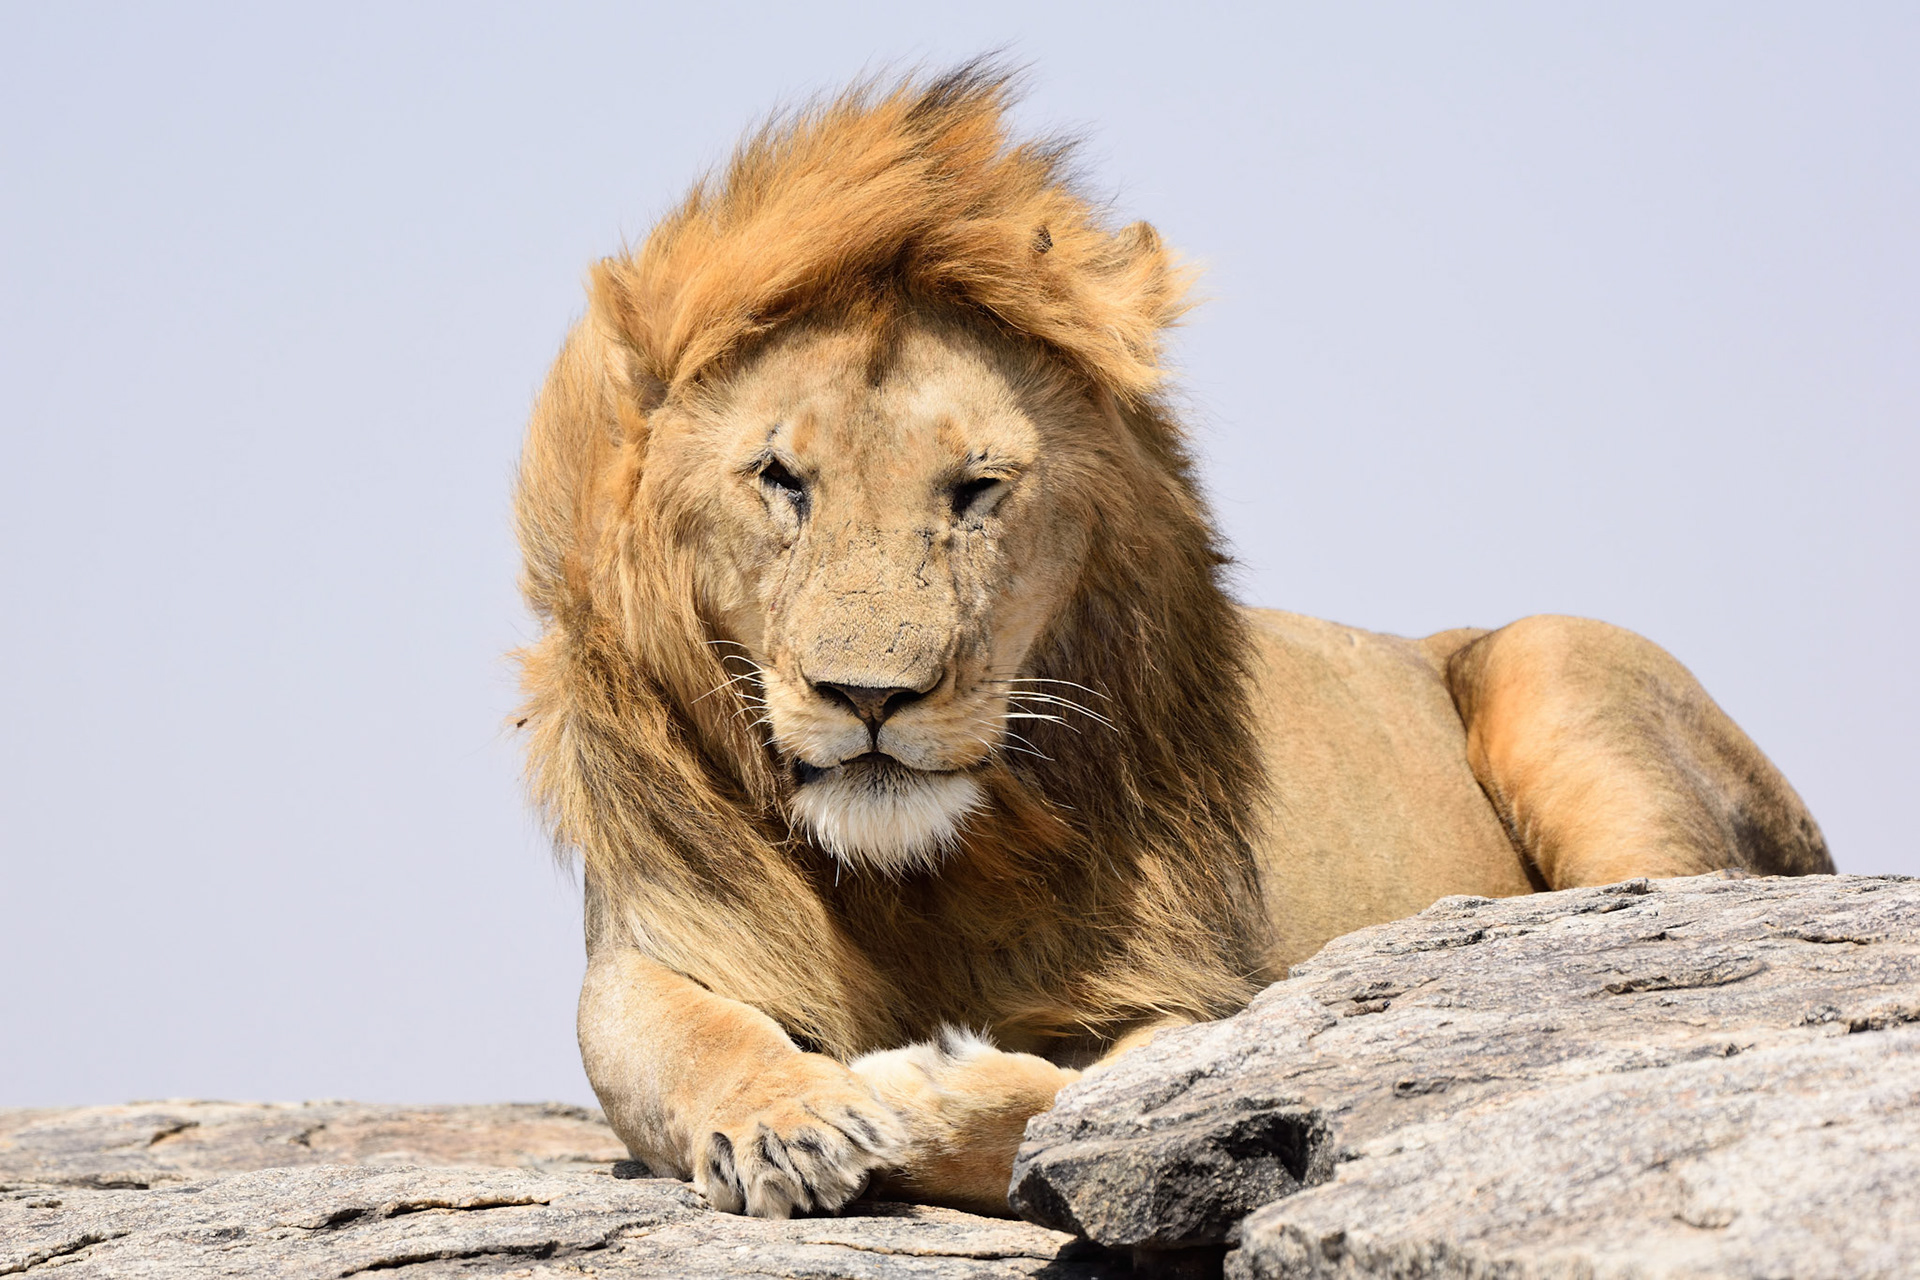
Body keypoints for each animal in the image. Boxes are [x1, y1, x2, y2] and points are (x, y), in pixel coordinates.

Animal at [512, 66, 1831, 1220]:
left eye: (976, 488)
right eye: (781, 478)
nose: (870, 695)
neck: (921, 873)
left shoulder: (1206, 998)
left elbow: (1073, 1101)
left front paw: (912, 1085)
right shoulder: (653, 936)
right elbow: (682, 1036)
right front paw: (790, 1117)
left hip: (1555, 658)